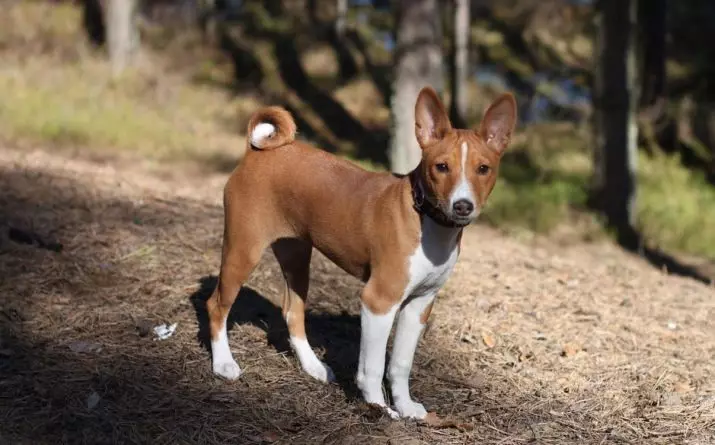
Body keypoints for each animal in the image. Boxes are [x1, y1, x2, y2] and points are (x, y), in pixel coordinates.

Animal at [204, 85, 516, 418]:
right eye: (441, 167)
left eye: (483, 169)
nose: (462, 206)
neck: (427, 220)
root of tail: (257, 153)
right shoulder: (379, 301)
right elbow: (373, 367)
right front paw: (379, 407)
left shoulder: (419, 304)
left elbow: (400, 364)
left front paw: (405, 407)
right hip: (243, 250)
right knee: (217, 305)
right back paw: (224, 364)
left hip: (297, 257)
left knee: (292, 312)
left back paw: (314, 367)